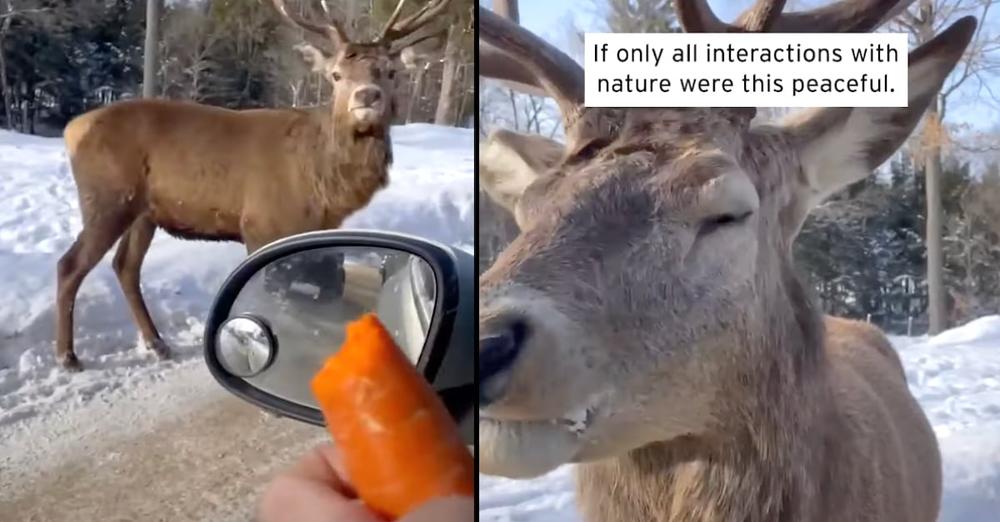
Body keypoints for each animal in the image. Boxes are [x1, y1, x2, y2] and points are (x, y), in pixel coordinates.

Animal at [50, 0, 450, 370]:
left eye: (390, 72)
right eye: (336, 75)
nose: (367, 96)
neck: (323, 180)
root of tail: (72, 129)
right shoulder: (261, 222)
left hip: (144, 212)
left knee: (125, 266)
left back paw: (157, 343)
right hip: (108, 197)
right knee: (71, 264)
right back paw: (68, 355)